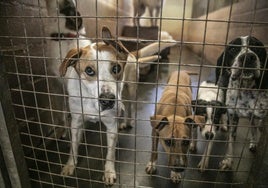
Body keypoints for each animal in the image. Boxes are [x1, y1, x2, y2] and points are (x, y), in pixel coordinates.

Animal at [216, 36, 268, 170]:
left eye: (257, 46)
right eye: (233, 49)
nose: (248, 57)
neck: (246, 90)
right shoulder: (233, 116)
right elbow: (230, 141)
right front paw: (228, 161)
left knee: (255, 126)